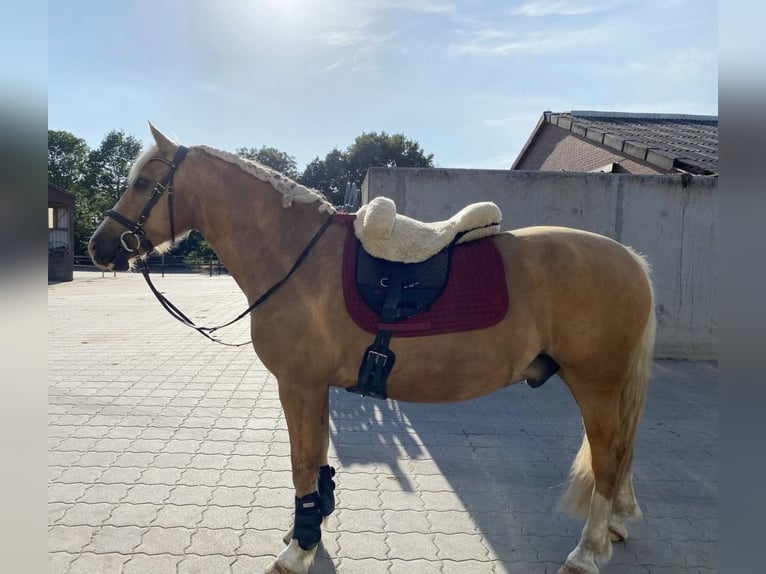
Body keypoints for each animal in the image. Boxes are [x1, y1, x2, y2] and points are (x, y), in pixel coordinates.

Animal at [88, 125, 656, 574]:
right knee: (620, 455)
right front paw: (308, 528)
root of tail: (630, 258)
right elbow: (316, 458)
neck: (296, 256)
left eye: (143, 183)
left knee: (608, 458)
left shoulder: (298, 385)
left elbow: (301, 461)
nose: (99, 247)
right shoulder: (313, 388)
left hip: (596, 382)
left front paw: (298, 550)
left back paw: (586, 553)